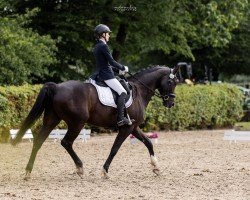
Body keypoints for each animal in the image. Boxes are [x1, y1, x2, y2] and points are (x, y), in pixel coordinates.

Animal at [11, 65, 180, 180]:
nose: (171, 103)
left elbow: (149, 143)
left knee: (38, 141)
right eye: (172, 82)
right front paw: (105, 171)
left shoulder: (133, 127)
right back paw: (79, 168)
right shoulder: (127, 128)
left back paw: (28, 172)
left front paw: (156, 167)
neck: (139, 91)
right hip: (77, 123)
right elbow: (115, 149)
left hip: (52, 120)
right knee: (66, 142)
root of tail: (57, 87)